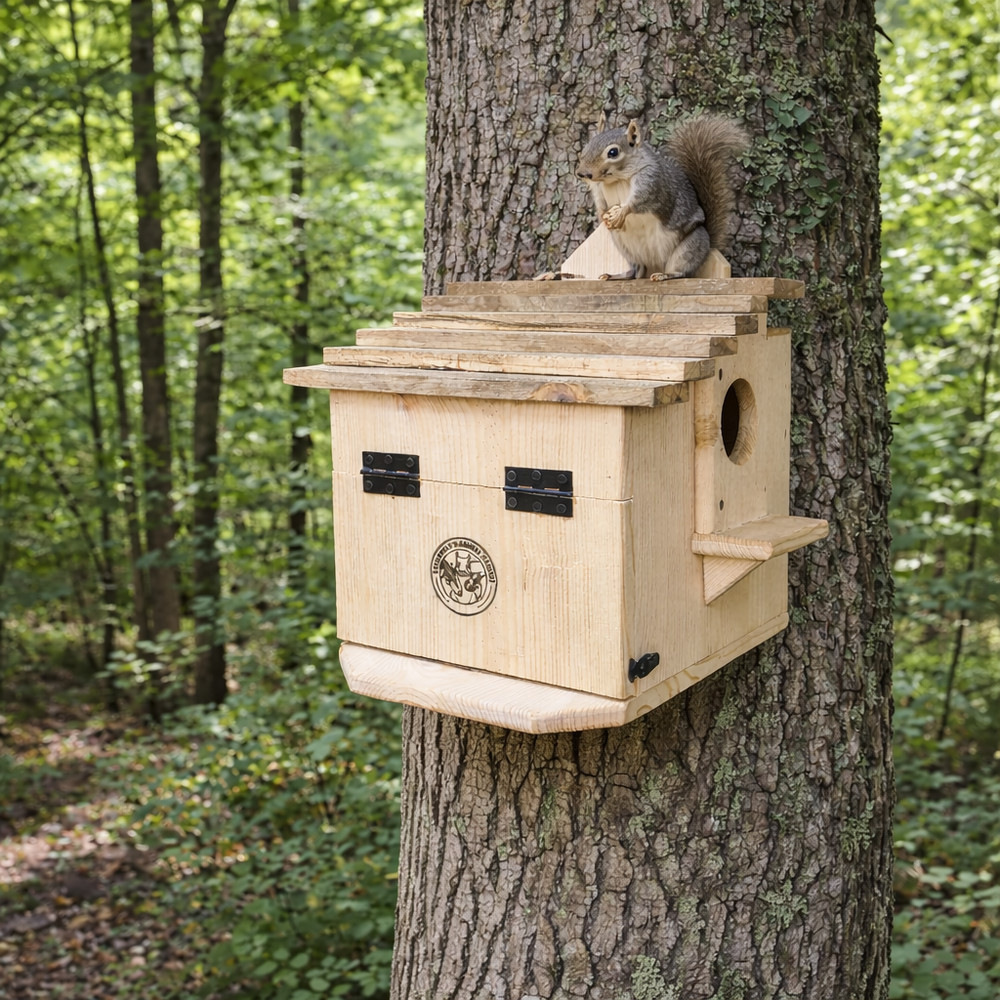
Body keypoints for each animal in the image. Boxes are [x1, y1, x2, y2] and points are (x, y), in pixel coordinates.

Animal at [575, 113, 749, 280]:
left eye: (613, 152)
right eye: (587, 146)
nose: (582, 173)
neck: (616, 180)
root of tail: (655, 264)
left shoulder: (652, 181)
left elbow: (638, 201)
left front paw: (621, 213)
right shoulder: (598, 189)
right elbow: (600, 203)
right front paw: (603, 215)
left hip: (689, 247)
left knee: (682, 271)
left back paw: (666, 275)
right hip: (626, 248)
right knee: (637, 271)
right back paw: (617, 276)